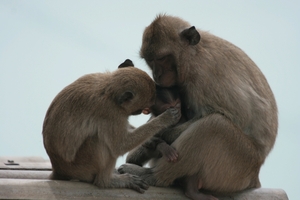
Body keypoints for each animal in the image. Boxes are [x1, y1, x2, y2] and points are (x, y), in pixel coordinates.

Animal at [42, 58, 182, 193]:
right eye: (142, 108)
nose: (144, 111)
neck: (108, 89)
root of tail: (59, 171)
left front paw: (154, 141)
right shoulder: (110, 112)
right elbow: (120, 145)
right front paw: (165, 119)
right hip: (82, 168)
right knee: (99, 140)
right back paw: (107, 181)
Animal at [118, 14, 278, 200]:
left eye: (161, 58)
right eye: (150, 60)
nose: (157, 75)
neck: (193, 55)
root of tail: (254, 176)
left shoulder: (203, 77)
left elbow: (229, 115)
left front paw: (159, 137)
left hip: (239, 166)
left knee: (215, 125)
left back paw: (153, 176)